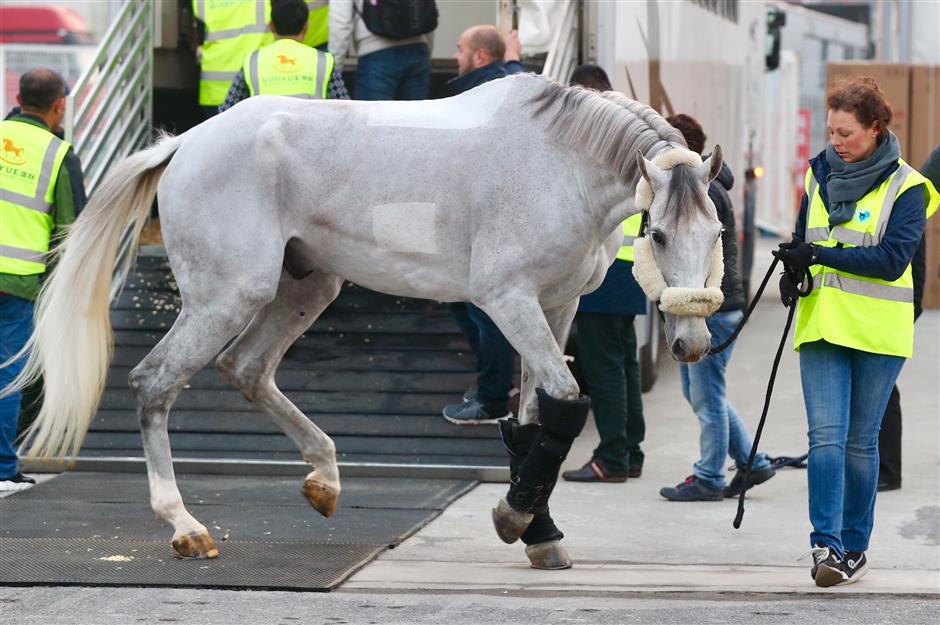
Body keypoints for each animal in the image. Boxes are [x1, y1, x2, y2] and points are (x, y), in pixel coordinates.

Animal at [7, 72, 724, 564]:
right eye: (658, 233)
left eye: (716, 232)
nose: (691, 342)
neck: (558, 165)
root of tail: (184, 144)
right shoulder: (510, 302)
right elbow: (564, 402)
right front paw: (518, 520)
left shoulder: (556, 305)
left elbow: (533, 421)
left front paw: (536, 531)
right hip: (227, 297)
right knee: (155, 382)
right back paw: (185, 526)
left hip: (305, 287)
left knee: (248, 369)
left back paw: (324, 478)